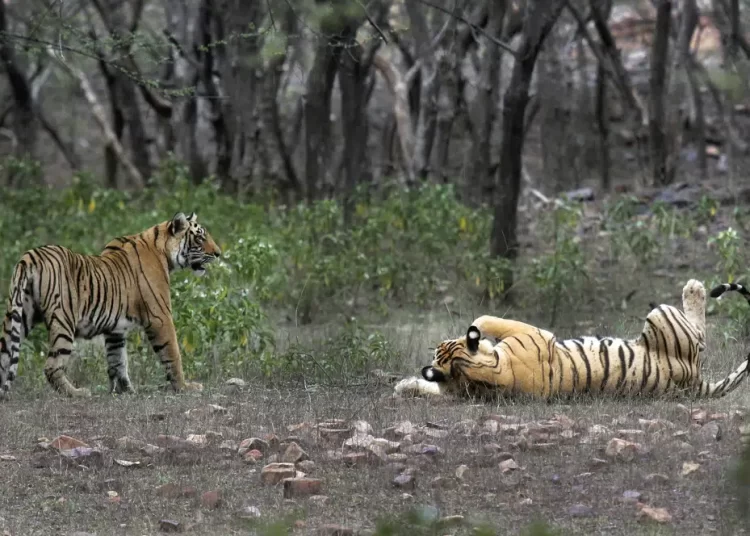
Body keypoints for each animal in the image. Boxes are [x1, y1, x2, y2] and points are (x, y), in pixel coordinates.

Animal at [0, 212, 221, 398]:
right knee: (52, 366)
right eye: (200, 238)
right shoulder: (160, 317)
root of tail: (30, 256)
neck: (163, 251)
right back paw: (77, 392)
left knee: (5, 357)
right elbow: (173, 354)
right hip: (63, 320)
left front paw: (125, 390)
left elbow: (118, 360)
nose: (219, 253)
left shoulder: (115, 329)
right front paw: (184, 387)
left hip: (18, 316)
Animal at [395, 279, 750, 400]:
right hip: (661, 314)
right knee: (700, 334)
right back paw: (695, 288)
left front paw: (405, 385)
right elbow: (483, 320)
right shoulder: (532, 333)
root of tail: (695, 382)